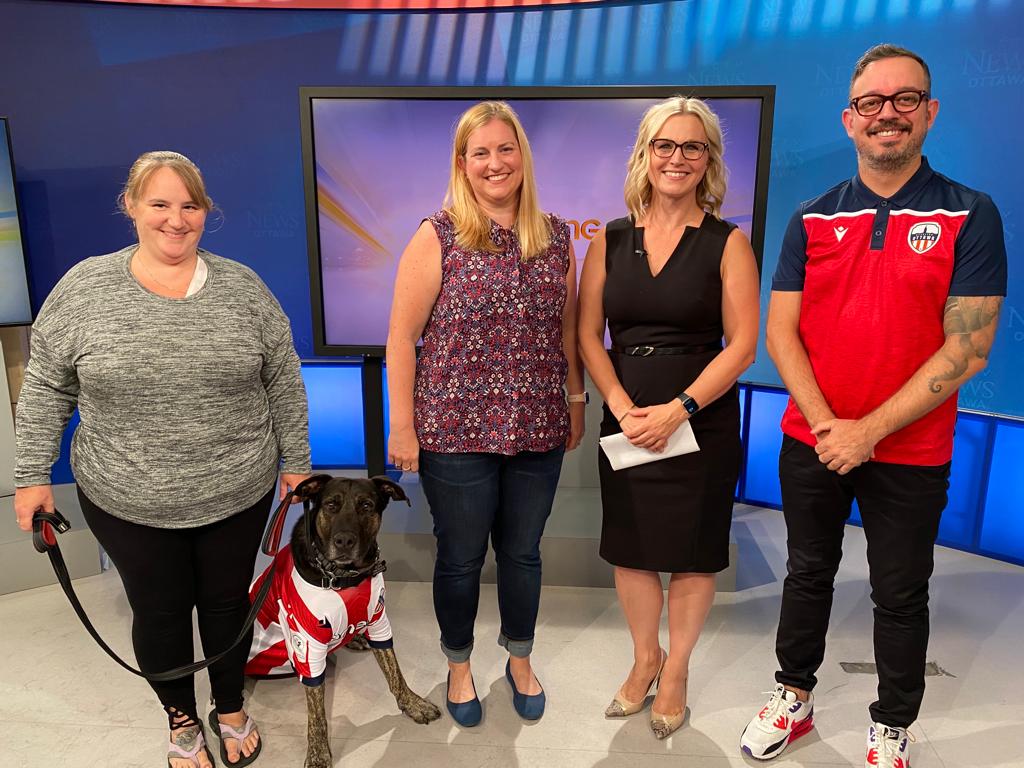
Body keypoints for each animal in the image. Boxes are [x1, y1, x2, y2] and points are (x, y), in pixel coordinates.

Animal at [288, 475, 440, 768]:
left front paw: (413, 704)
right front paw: (318, 753)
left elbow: (396, 674)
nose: (344, 541)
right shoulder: (308, 647)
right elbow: (316, 712)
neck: (345, 577)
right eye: (331, 505)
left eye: (367, 505)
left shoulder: (379, 621)